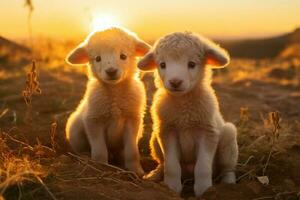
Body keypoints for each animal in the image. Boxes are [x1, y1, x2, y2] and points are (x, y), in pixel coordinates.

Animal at [65, 27, 150, 177]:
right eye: (98, 58)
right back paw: (85, 157)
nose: (111, 71)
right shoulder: (93, 120)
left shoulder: (133, 121)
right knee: (81, 149)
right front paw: (101, 168)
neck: (114, 92)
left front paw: (136, 171)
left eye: (123, 56)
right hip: (75, 132)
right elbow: (99, 151)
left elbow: (132, 151)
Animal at [137, 32, 238, 196]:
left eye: (191, 64)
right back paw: (155, 174)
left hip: (229, 138)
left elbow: (203, 167)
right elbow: (171, 165)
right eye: (162, 65)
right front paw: (171, 188)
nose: (175, 82)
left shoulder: (208, 132)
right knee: (163, 163)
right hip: (154, 138)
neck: (183, 105)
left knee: (227, 169)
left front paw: (204, 190)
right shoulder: (167, 132)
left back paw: (228, 184)